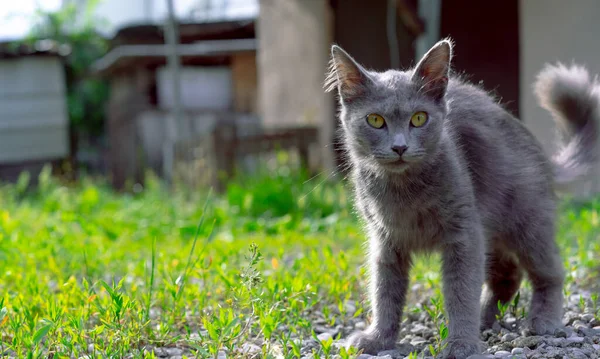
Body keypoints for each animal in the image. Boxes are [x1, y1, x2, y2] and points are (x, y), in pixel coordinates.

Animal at [324, 38, 600, 358]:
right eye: (375, 120)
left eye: (419, 118)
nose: (399, 147)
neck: (404, 192)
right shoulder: (385, 241)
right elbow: (385, 292)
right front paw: (378, 339)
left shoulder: (464, 234)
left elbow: (460, 291)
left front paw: (461, 344)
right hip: (494, 232)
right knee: (508, 276)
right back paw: (484, 320)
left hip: (528, 222)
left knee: (550, 271)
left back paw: (542, 320)